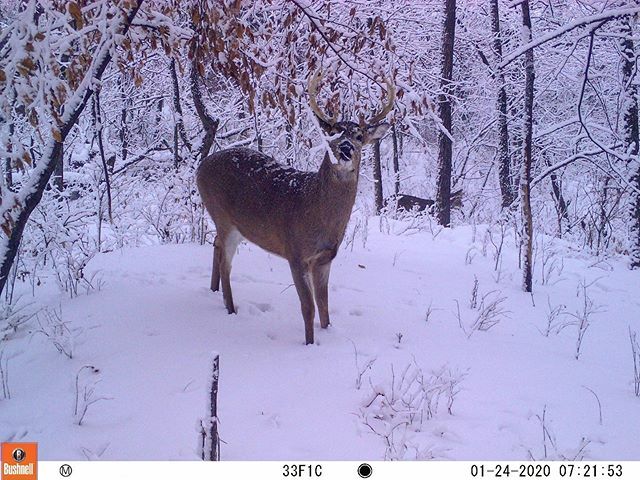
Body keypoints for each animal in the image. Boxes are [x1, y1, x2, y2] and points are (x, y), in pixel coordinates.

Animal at [196, 72, 395, 344]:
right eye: (333, 133)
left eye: (359, 136)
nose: (345, 149)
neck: (315, 209)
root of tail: (199, 168)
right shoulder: (295, 252)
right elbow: (308, 307)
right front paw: (309, 345)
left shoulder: (325, 258)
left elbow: (324, 305)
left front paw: (326, 333)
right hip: (224, 217)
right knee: (226, 263)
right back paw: (230, 308)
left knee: (215, 246)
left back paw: (214, 291)